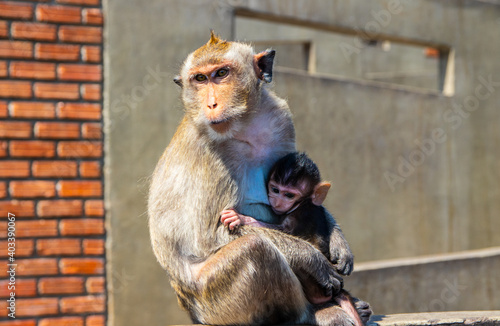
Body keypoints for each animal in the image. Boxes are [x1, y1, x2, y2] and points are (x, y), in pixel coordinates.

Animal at [221, 153, 370, 326]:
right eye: (275, 189)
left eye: (289, 195)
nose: (277, 200)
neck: (305, 202)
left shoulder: (299, 214)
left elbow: (283, 230)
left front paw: (240, 218)